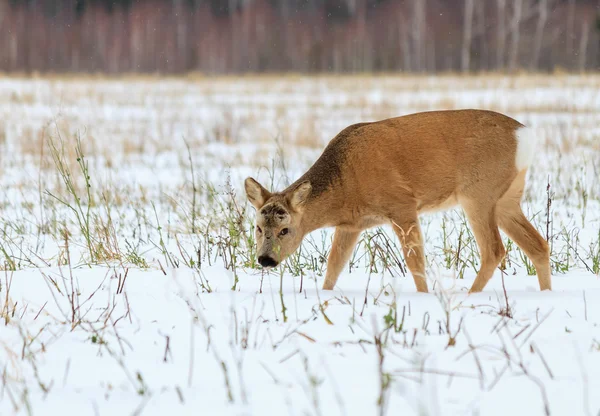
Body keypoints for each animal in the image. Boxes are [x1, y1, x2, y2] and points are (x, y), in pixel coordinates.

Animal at [244, 109, 552, 294]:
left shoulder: (401, 204)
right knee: (538, 245)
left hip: (479, 193)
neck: (345, 185)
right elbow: (334, 265)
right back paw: (546, 292)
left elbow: (415, 261)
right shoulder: (351, 225)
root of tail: (525, 135)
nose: (265, 259)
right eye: (258, 227)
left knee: (494, 249)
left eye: (285, 229)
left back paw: (470, 296)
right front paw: (325, 296)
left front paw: (424, 296)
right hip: (508, 198)